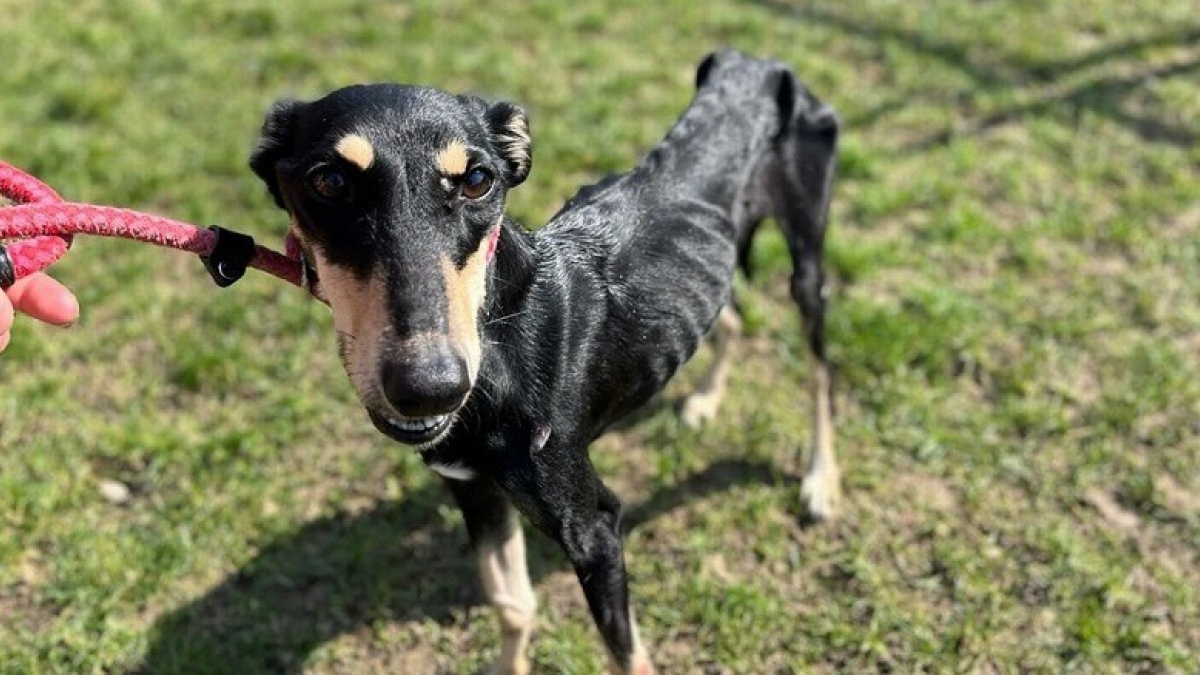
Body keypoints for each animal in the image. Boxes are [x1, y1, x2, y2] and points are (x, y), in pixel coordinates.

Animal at [248, 49, 840, 667]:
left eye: (478, 180)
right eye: (329, 181)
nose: (430, 386)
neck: (500, 336)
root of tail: (755, 61)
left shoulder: (593, 527)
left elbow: (627, 654)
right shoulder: (474, 489)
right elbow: (512, 605)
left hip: (808, 261)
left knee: (821, 371)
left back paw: (821, 480)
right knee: (731, 315)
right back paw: (706, 400)